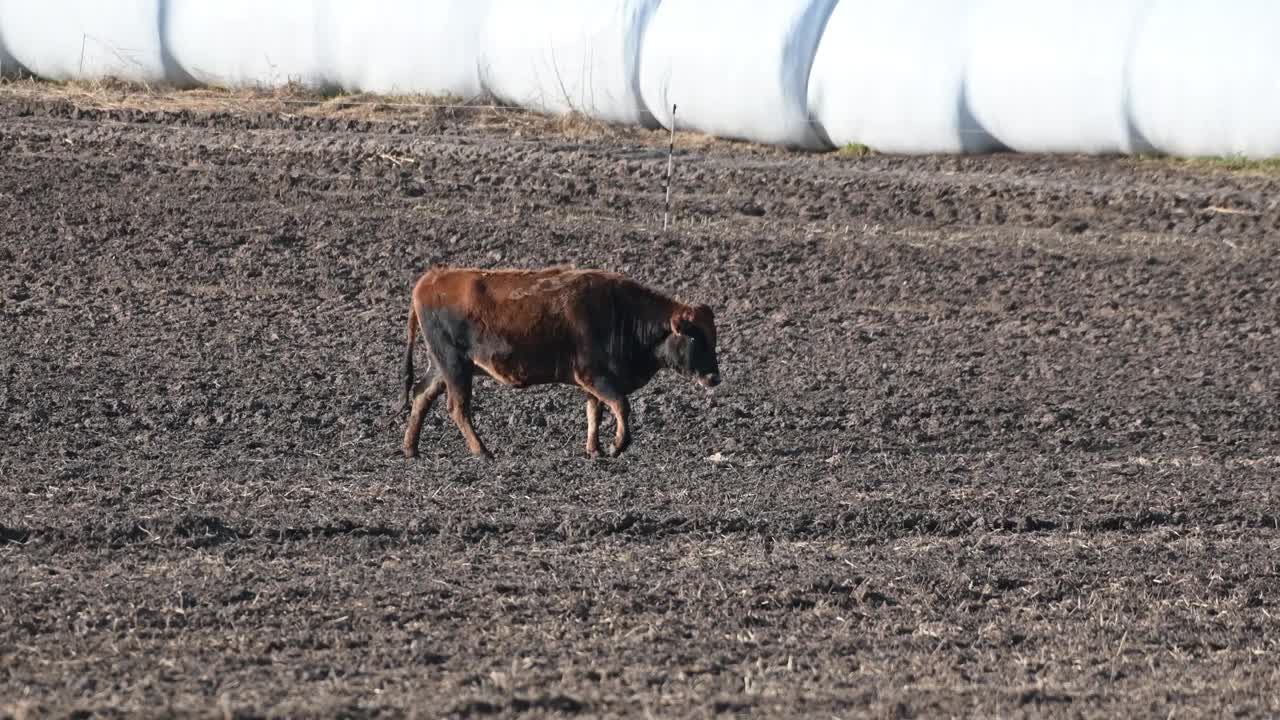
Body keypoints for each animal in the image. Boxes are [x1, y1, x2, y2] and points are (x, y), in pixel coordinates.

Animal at [399, 265, 721, 458]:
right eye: (696, 338)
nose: (714, 378)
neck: (621, 312)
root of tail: (430, 279)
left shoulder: (595, 382)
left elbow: (595, 412)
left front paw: (595, 450)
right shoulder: (594, 375)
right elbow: (621, 405)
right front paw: (617, 445)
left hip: (441, 366)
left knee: (421, 395)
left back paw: (411, 448)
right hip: (455, 366)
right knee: (458, 407)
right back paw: (481, 450)